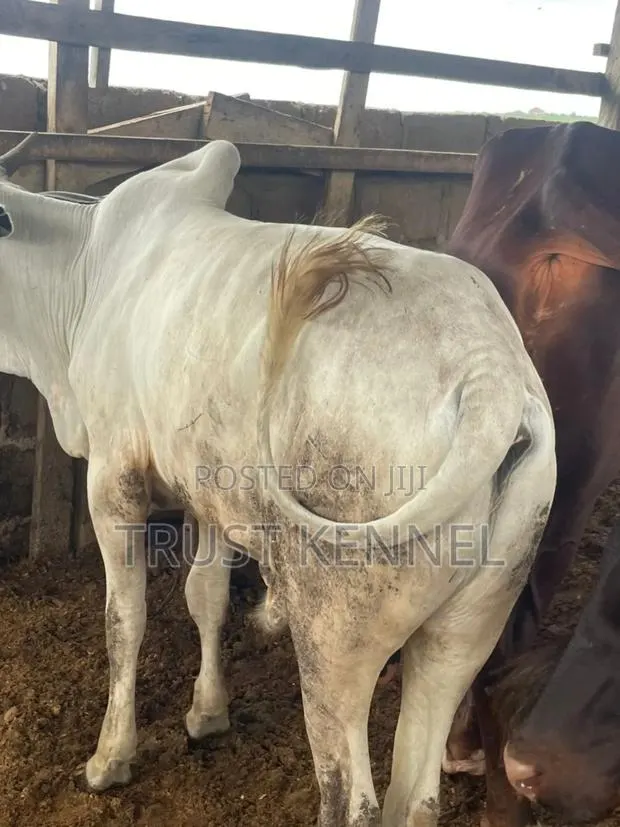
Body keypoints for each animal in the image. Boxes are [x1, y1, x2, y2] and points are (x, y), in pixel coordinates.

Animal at [0, 134, 556, 827]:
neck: (82, 276)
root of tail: (491, 374)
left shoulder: (114, 478)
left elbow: (123, 620)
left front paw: (110, 758)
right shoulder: (207, 492)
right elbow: (205, 596)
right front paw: (208, 714)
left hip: (334, 634)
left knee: (352, 798)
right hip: (466, 629)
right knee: (418, 795)